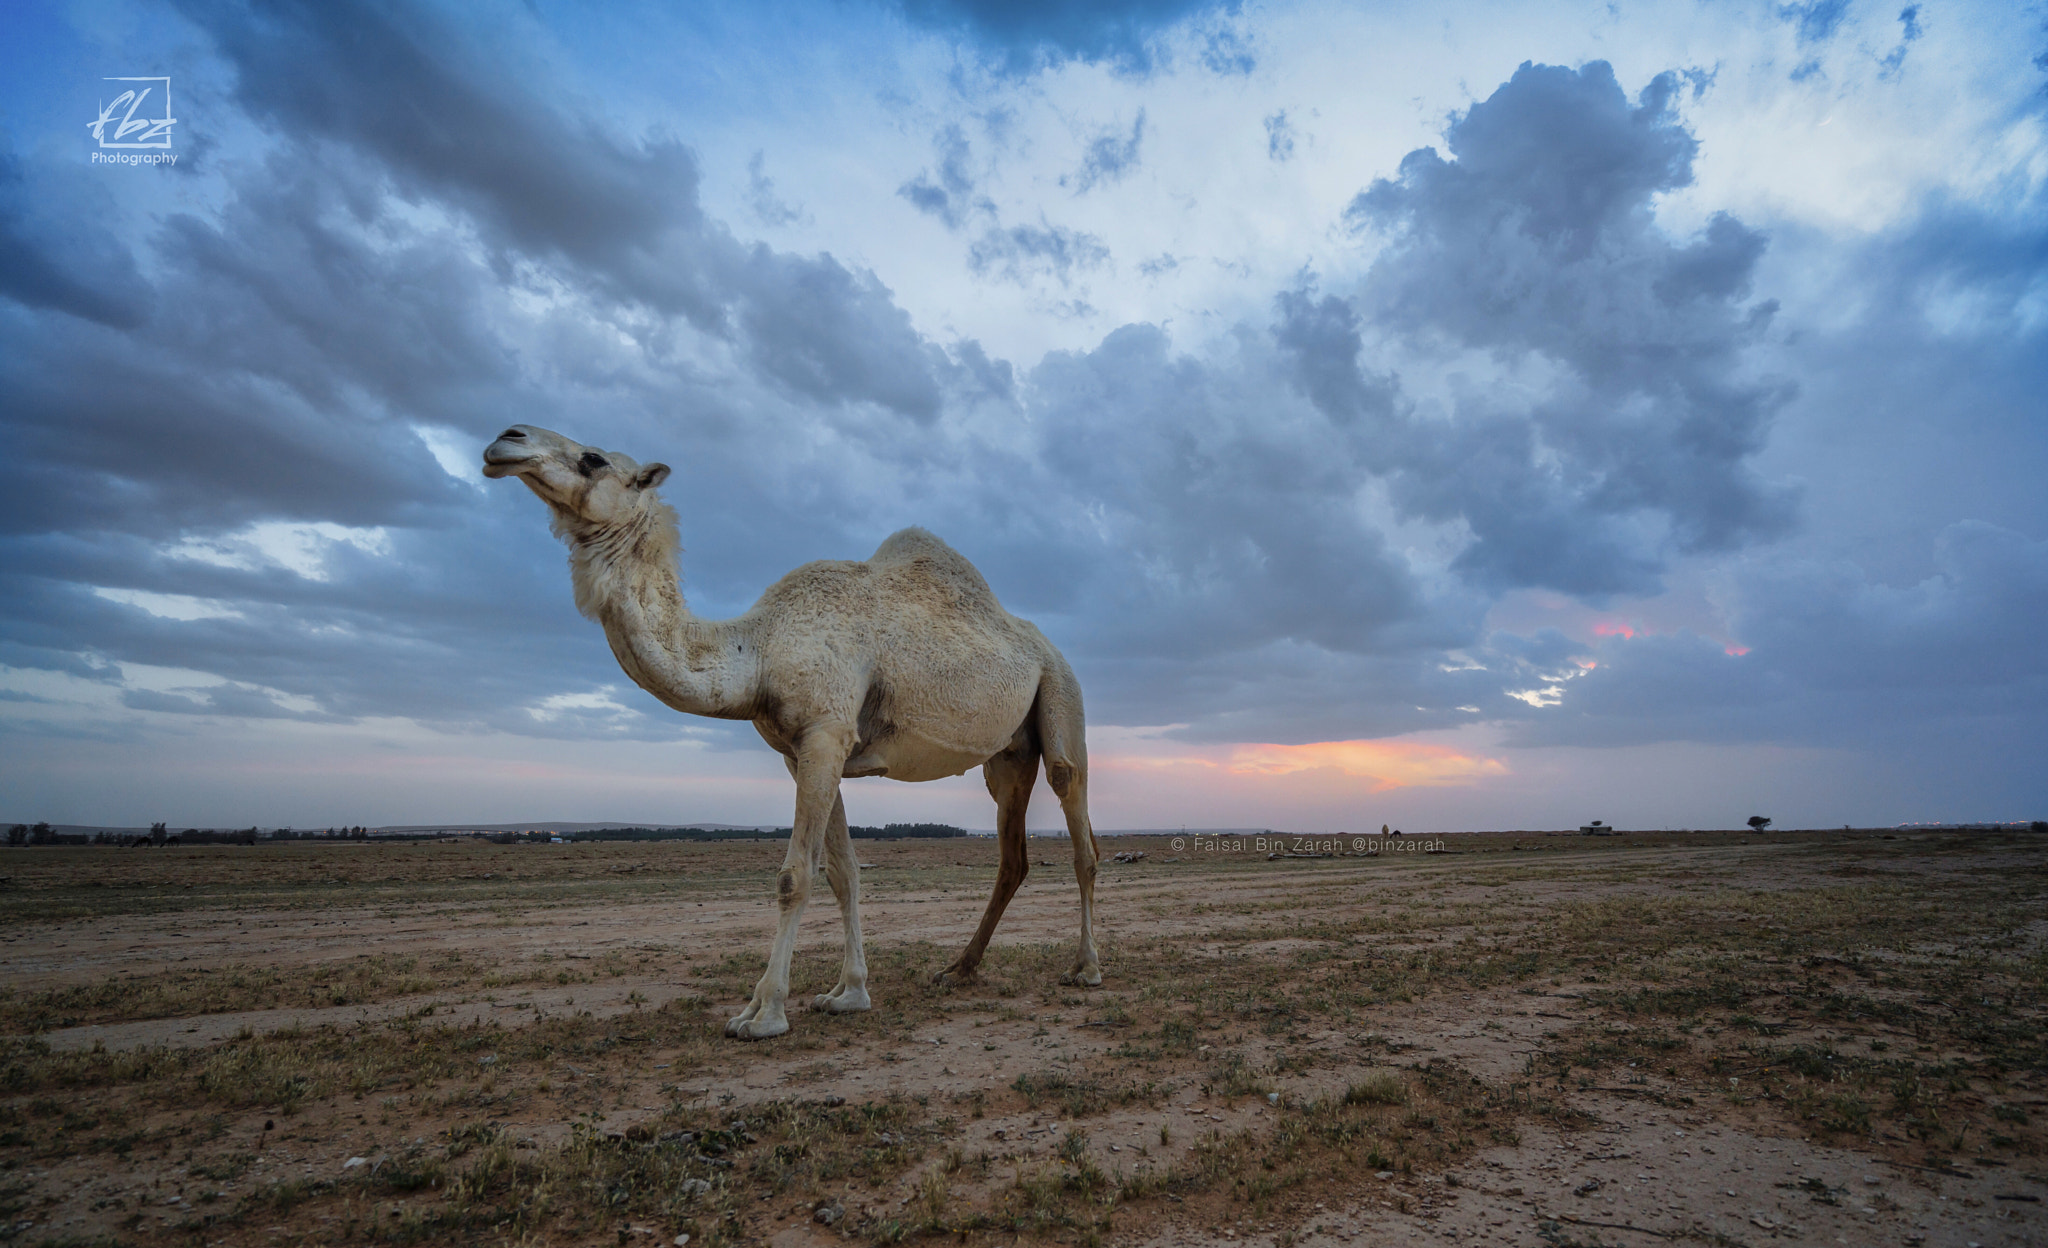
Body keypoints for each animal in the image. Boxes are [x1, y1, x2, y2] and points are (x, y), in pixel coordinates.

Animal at [483, 424, 1105, 1036]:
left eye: (592, 458)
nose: (505, 441)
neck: (756, 650)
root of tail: (1046, 646)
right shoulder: (803, 749)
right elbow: (844, 873)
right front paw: (848, 993)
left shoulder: (825, 733)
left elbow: (794, 877)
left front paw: (763, 1013)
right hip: (1007, 756)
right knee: (1012, 854)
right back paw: (959, 969)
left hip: (1061, 691)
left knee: (1076, 814)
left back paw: (1086, 968)